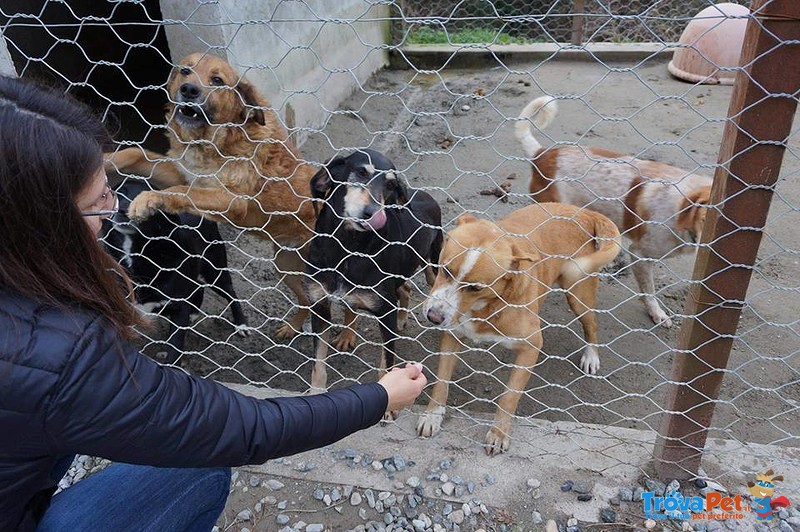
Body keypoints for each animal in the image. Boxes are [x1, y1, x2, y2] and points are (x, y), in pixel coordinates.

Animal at [516, 96, 708, 328]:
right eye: (706, 218)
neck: (681, 206)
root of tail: (542, 154)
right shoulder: (640, 254)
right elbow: (649, 291)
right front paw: (657, 313)